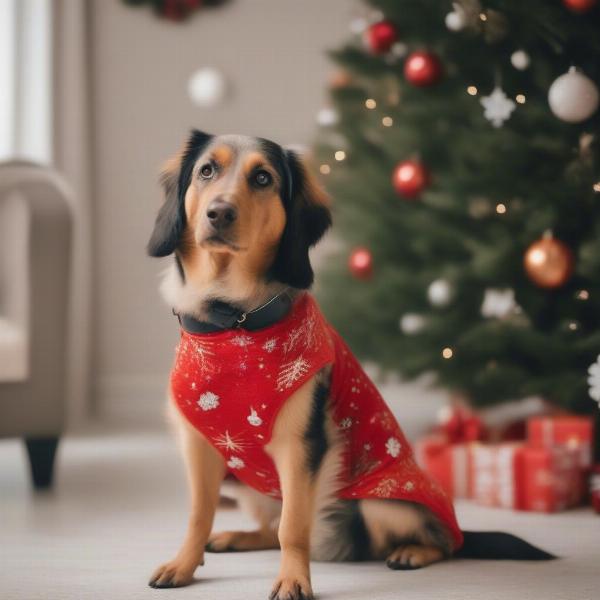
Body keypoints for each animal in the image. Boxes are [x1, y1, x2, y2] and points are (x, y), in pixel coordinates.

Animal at [144, 132, 552, 600]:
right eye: (206, 171)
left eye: (263, 178)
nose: (219, 213)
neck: (234, 322)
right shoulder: (199, 447)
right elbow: (199, 515)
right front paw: (183, 565)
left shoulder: (300, 447)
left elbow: (293, 527)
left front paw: (293, 579)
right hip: (245, 484)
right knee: (269, 526)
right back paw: (238, 537)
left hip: (380, 502)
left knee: (446, 542)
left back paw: (412, 552)